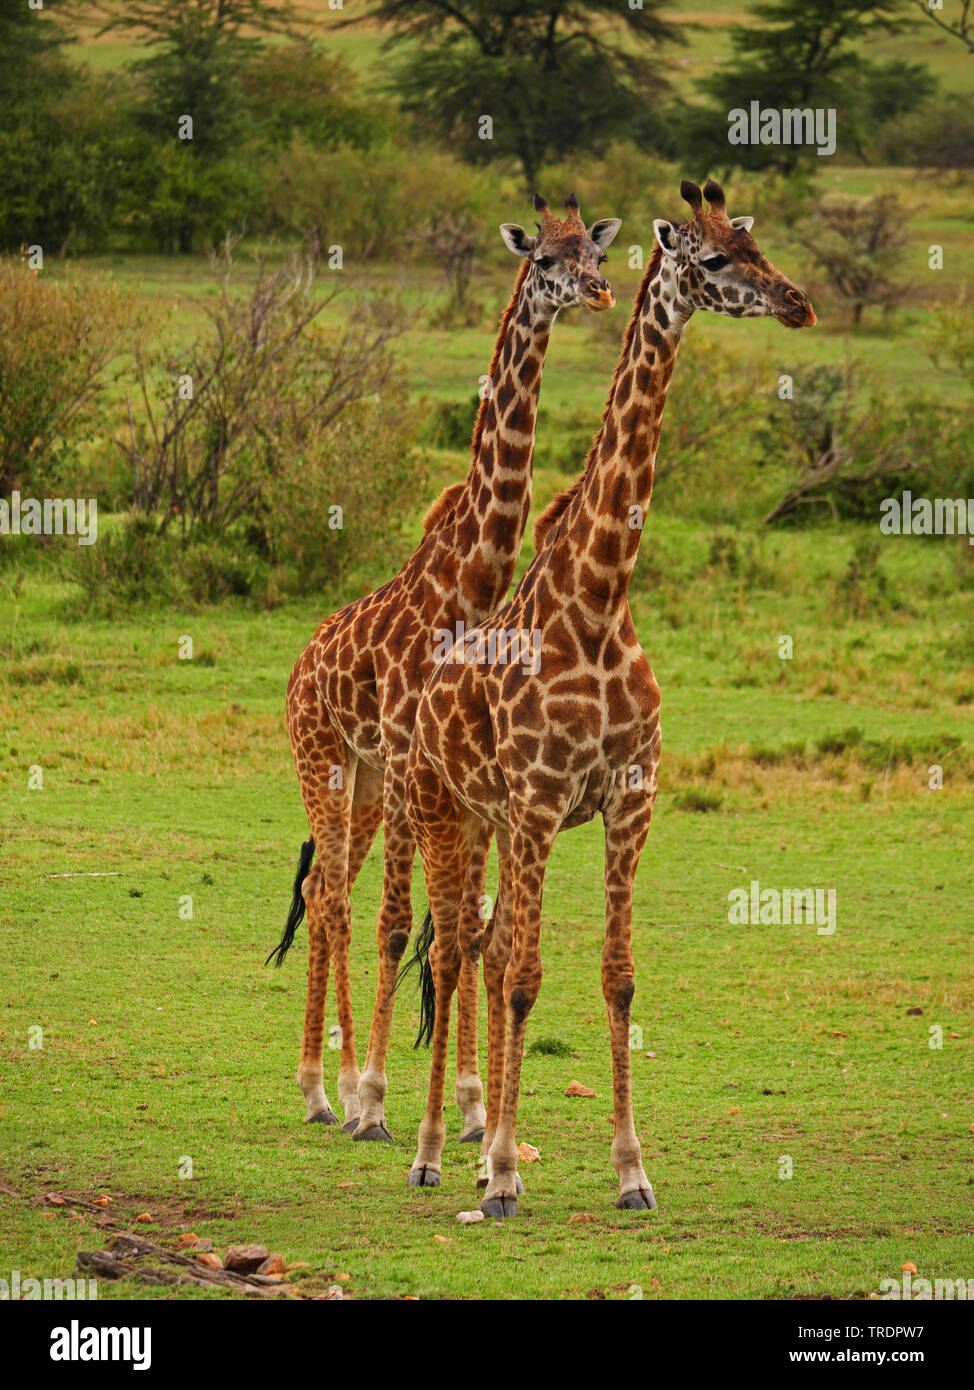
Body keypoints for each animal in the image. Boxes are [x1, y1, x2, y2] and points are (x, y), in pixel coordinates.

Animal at [269, 195, 622, 1144]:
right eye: (543, 259)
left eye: (593, 252)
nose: (599, 291)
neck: (470, 578)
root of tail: (301, 665)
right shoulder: (410, 752)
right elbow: (406, 923)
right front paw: (379, 1101)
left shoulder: (469, 776)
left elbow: (466, 925)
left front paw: (470, 1107)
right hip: (328, 758)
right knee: (338, 899)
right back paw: (328, 1090)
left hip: (360, 781)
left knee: (322, 884)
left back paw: (326, 1085)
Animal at [403, 178, 815, 1211]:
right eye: (712, 260)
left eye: (756, 243)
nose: (798, 302)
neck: (597, 602)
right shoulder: (544, 801)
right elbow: (525, 978)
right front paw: (505, 1178)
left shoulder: (629, 799)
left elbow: (618, 978)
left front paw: (631, 1170)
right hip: (444, 808)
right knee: (454, 951)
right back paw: (434, 1153)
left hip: (496, 820)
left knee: (482, 946)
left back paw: (477, 1146)